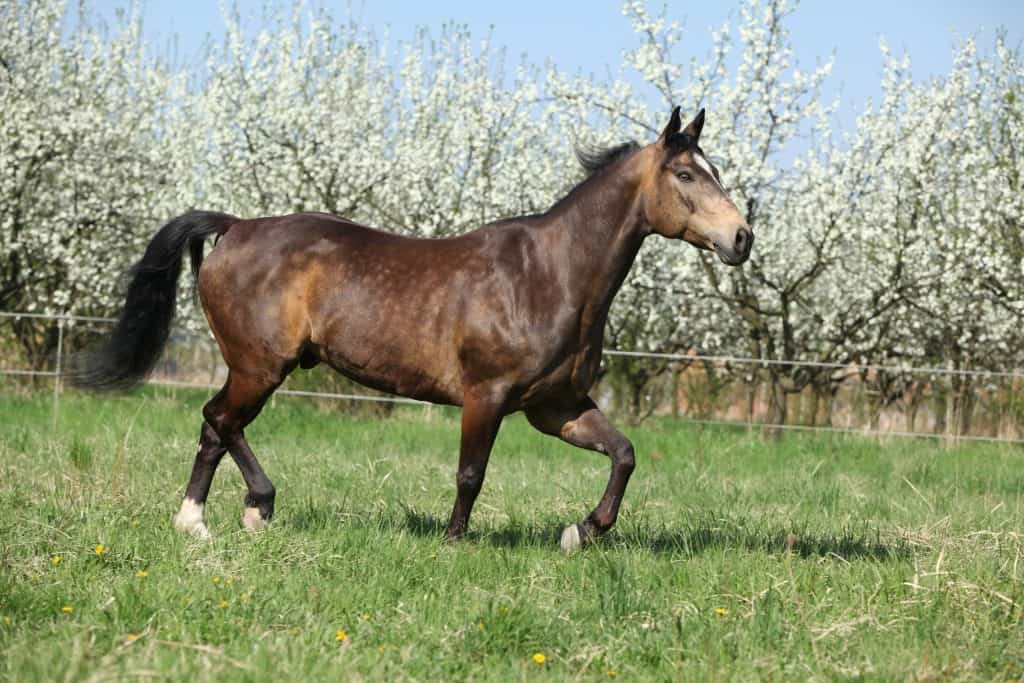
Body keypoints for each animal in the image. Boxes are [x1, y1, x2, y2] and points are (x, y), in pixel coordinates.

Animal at [77, 108, 753, 557]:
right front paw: (454, 542)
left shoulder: (556, 407)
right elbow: (470, 475)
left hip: (259, 367)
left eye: (714, 169)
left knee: (218, 427)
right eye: (687, 175)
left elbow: (624, 454)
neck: (549, 274)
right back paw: (237, 512)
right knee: (220, 420)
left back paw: (215, 518)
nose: (742, 238)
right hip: (259, 365)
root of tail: (236, 227)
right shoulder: (486, 397)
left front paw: (579, 532)